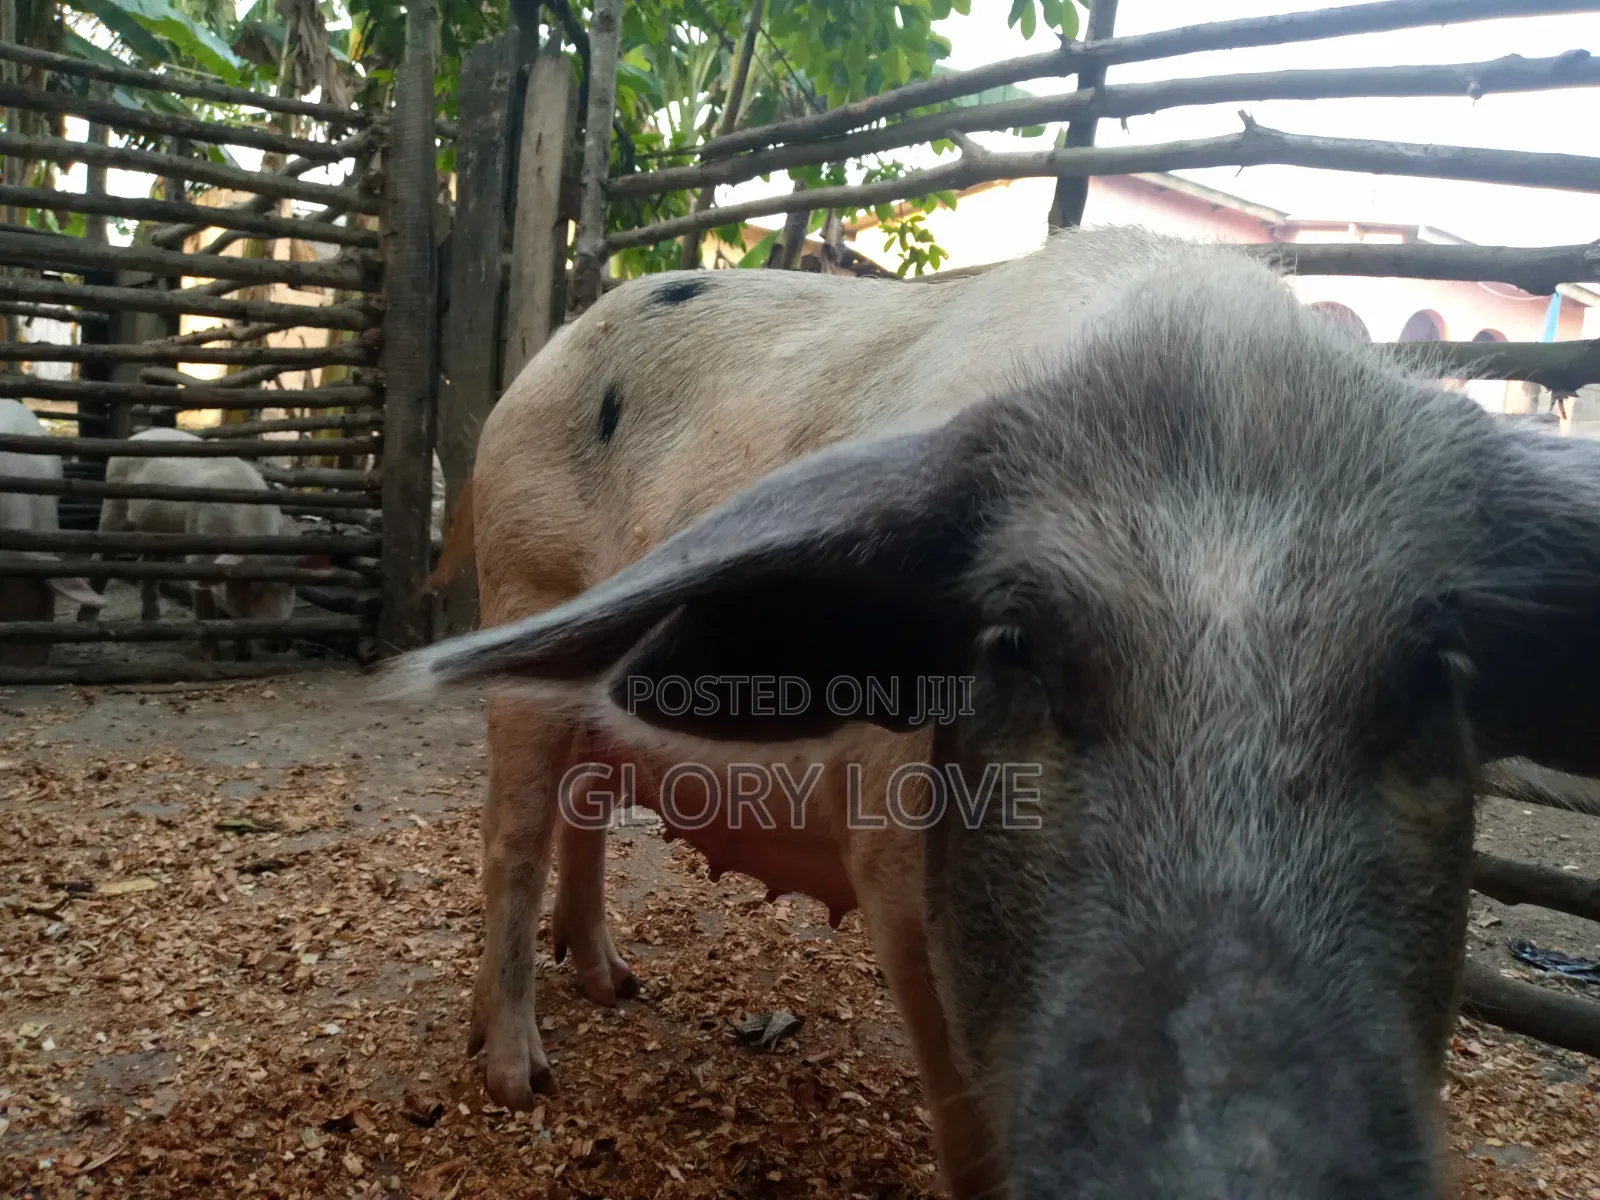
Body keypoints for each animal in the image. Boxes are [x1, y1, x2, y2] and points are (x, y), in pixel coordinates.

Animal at [391, 226, 1600, 1200]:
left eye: (1436, 674)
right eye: (1012, 649)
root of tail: (540, 362)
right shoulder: (894, 875)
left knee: (584, 809)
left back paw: (615, 982)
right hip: (524, 592)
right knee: (511, 836)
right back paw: (520, 1078)